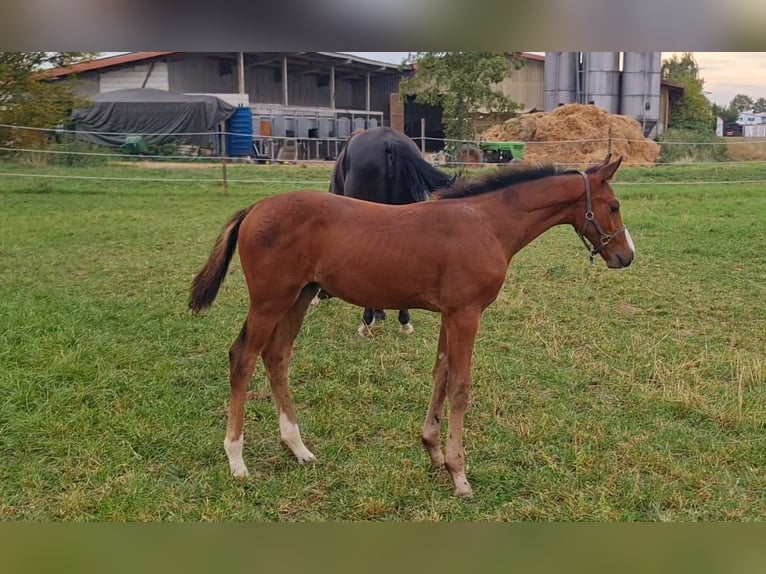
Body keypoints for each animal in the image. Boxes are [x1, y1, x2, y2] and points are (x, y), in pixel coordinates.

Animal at [190, 155, 636, 498]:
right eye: (614, 206)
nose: (626, 256)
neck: (487, 224)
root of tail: (254, 209)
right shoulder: (466, 313)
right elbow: (460, 385)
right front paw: (459, 474)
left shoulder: (450, 314)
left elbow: (440, 373)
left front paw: (434, 453)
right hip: (270, 300)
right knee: (243, 358)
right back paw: (237, 459)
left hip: (300, 296)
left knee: (277, 356)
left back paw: (298, 448)